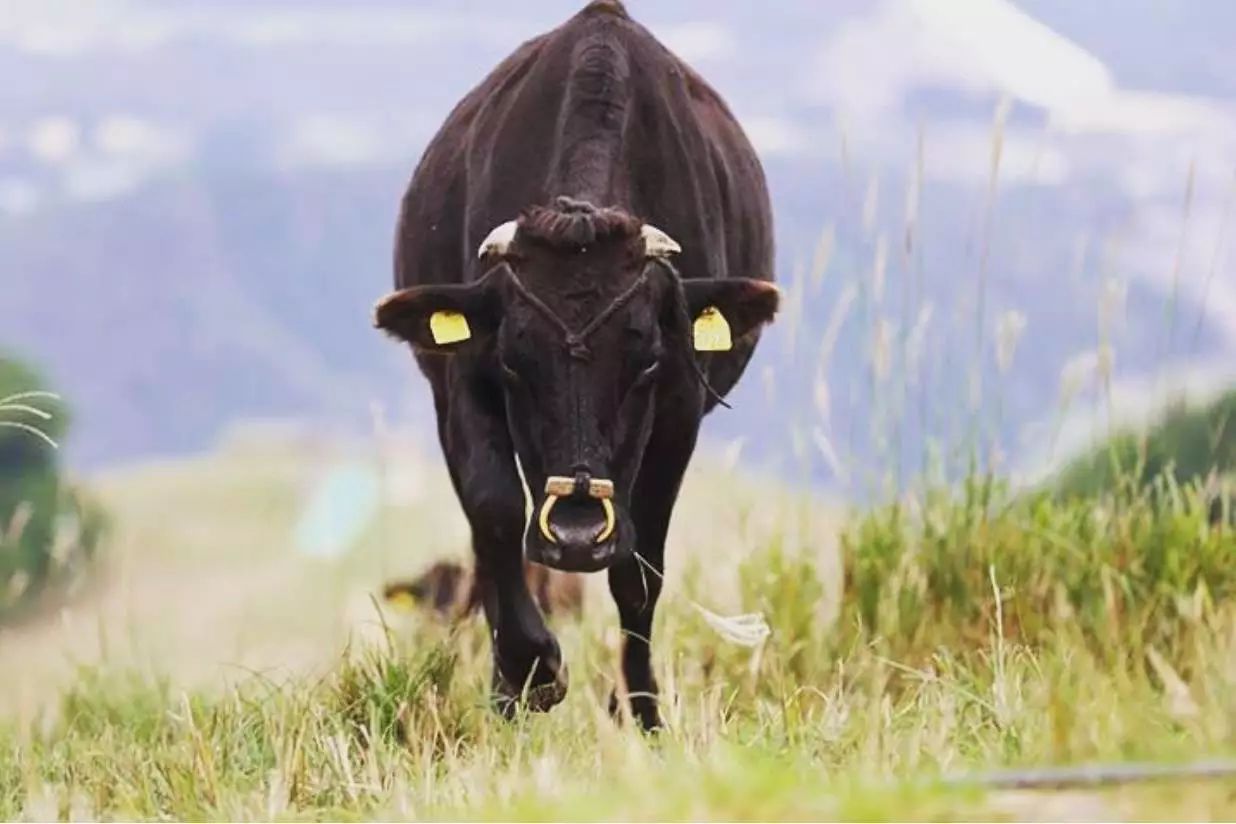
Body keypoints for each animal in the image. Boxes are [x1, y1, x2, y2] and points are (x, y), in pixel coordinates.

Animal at [370, 0, 776, 726]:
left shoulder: (679, 408)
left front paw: (641, 711)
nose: (580, 534)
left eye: (646, 361)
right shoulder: (462, 381)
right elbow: (495, 511)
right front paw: (529, 670)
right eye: (513, 361)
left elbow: (640, 568)